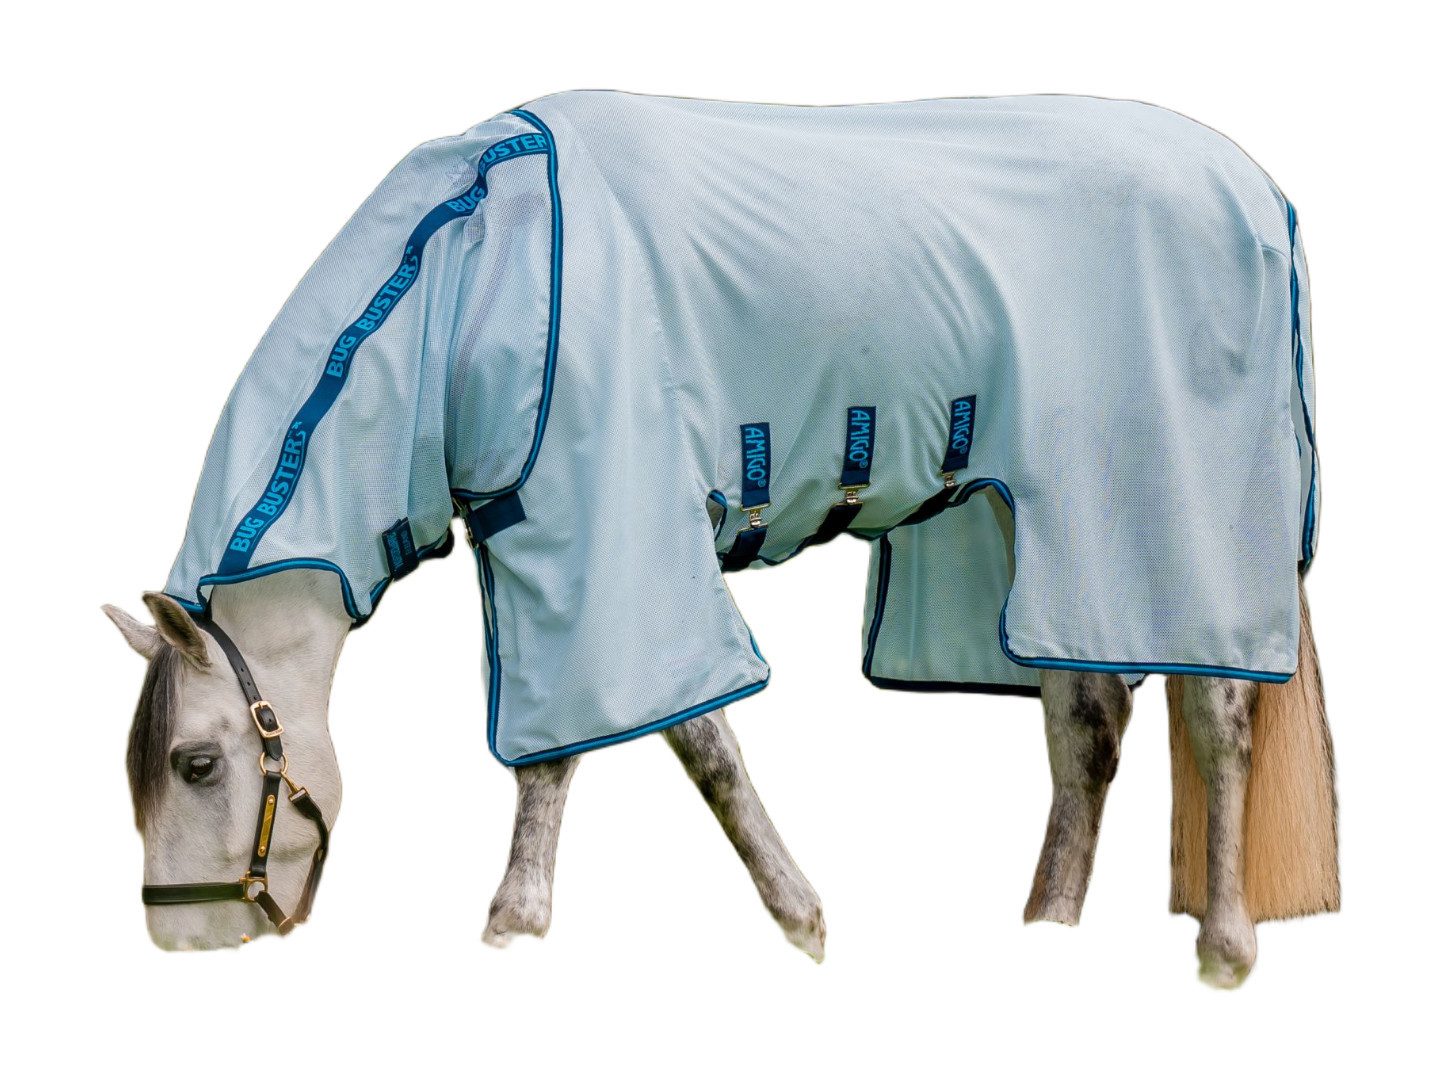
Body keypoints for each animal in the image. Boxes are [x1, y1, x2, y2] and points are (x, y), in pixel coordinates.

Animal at [106, 91, 1338, 986]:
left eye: (195, 762)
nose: (182, 940)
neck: (471, 273)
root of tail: (1262, 193)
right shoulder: (544, 542)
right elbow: (584, 745)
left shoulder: (620, 529)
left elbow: (670, 746)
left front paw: (767, 921)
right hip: (1028, 529)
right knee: (1088, 724)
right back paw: (1047, 927)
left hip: (1170, 519)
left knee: (1219, 717)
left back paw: (1225, 948)